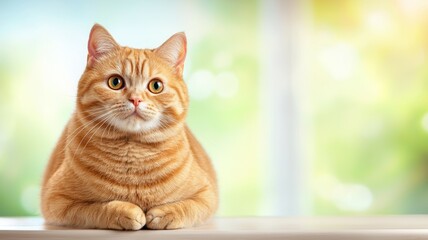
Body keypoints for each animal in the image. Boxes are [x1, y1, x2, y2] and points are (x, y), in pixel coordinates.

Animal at [41, 24, 217, 231]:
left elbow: (186, 207)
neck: (133, 154)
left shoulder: (206, 194)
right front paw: (126, 212)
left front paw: (163, 214)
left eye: (156, 86)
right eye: (115, 82)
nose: (135, 99)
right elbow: (95, 208)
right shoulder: (57, 200)